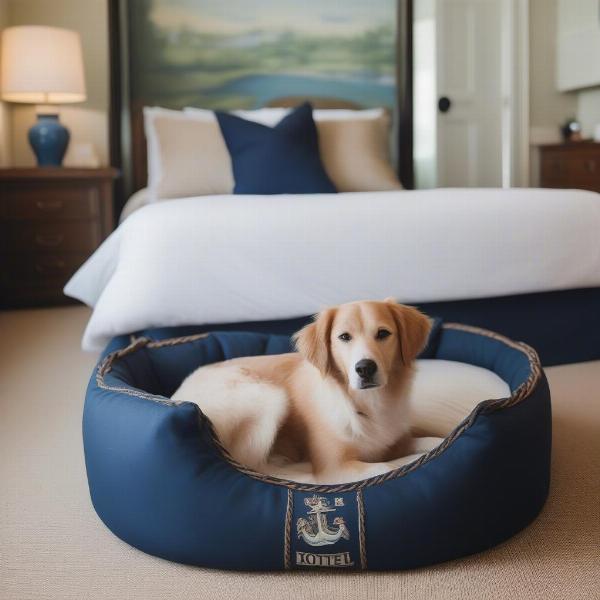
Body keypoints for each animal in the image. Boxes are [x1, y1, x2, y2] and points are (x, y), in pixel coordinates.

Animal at [173, 298, 436, 486]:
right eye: (344, 337)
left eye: (383, 333)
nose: (365, 368)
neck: (367, 404)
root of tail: (178, 393)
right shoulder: (335, 467)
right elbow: (387, 467)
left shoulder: (394, 442)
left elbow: (428, 442)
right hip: (270, 396)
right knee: (256, 466)